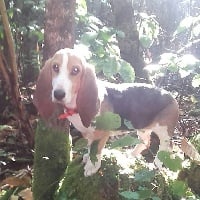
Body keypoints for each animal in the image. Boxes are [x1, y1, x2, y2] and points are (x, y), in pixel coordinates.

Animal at [33, 47, 199, 176]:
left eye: (75, 70)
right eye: (55, 67)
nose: (58, 94)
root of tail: (172, 96)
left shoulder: (101, 133)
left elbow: (96, 151)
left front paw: (92, 168)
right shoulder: (88, 133)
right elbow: (90, 148)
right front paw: (87, 158)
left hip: (164, 130)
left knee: (166, 148)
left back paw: (156, 164)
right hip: (142, 127)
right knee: (146, 141)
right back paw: (131, 155)